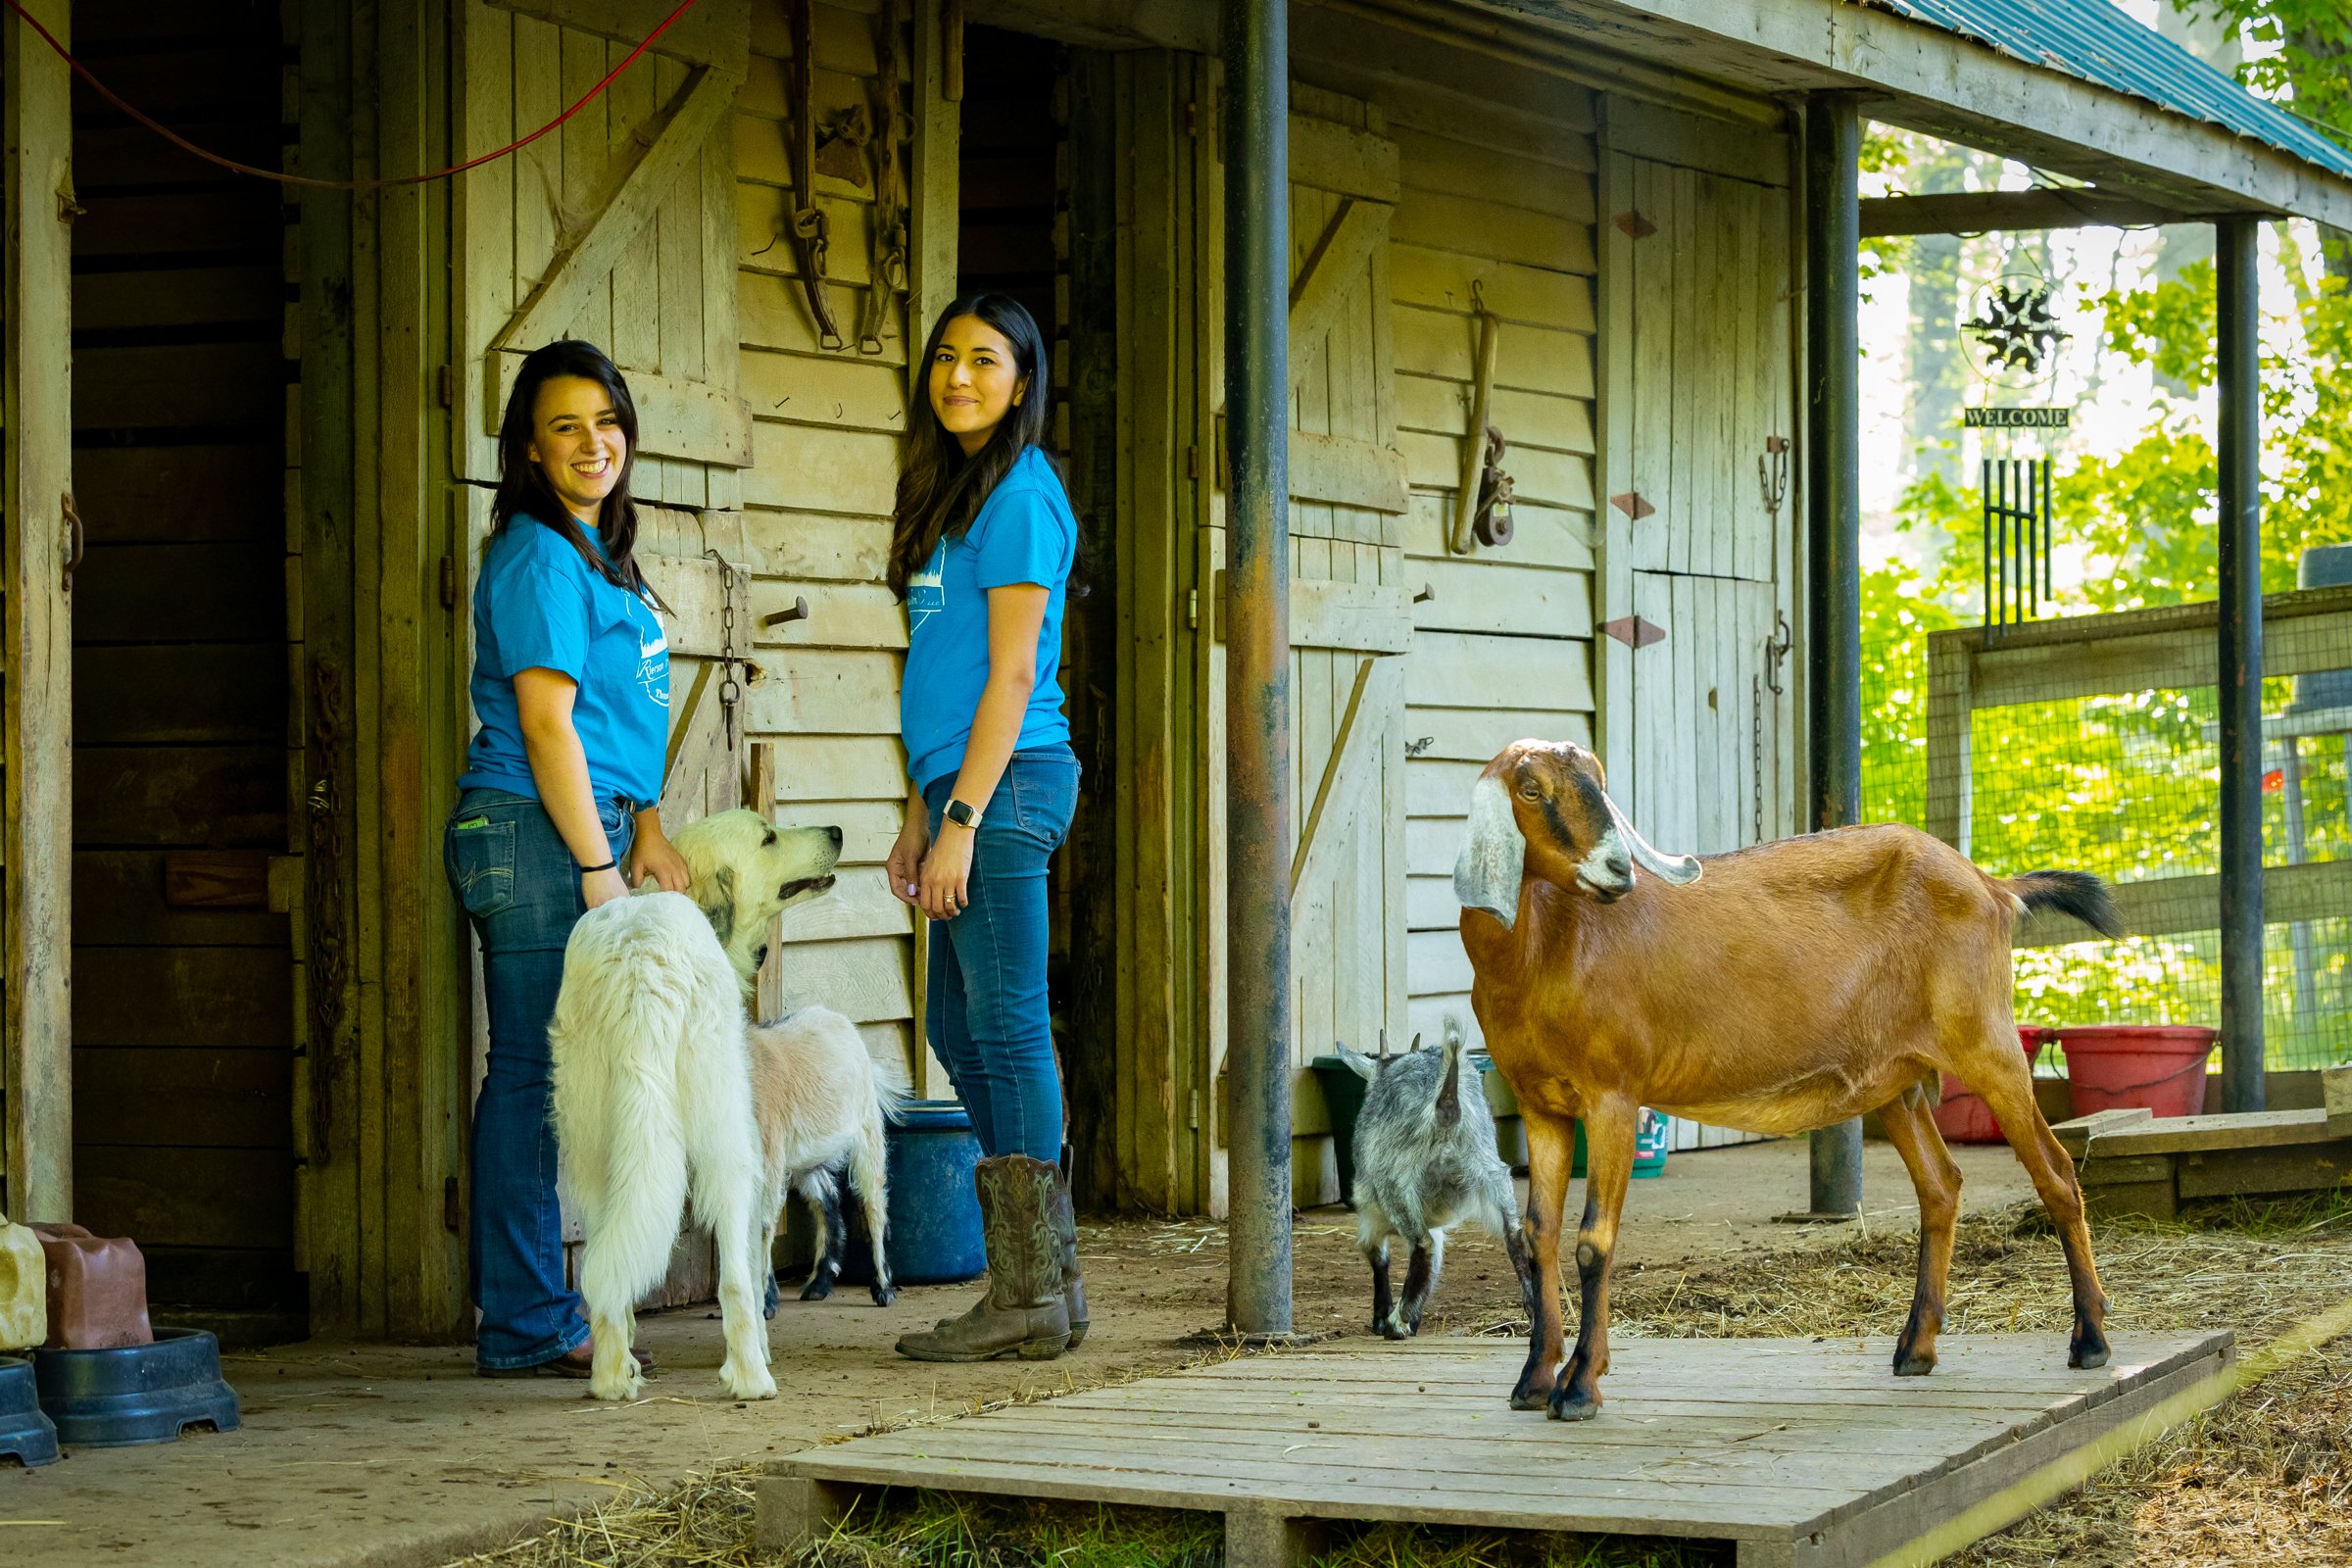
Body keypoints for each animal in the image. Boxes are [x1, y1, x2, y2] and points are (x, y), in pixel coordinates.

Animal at [545, 804, 884, 1400]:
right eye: (768, 838)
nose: (838, 830)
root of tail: (641, 962)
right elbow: (750, 1262)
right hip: (727, 1137)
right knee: (734, 1280)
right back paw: (751, 1377)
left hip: (589, 1146)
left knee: (607, 1264)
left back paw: (611, 1377)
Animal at [1458, 738, 2126, 1419]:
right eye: (1531, 789)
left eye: (1596, 779)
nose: (1618, 871)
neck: (1550, 948)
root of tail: (1992, 885)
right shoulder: (1541, 1107)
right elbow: (1536, 1237)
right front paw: (1534, 1380)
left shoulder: (1611, 1096)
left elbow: (1594, 1240)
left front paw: (1579, 1387)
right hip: (1896, 1079)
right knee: (1941, 1186)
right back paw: (1916, 1348)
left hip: (1987, 1043)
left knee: (2055, 1170)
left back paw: (2091, 1340)